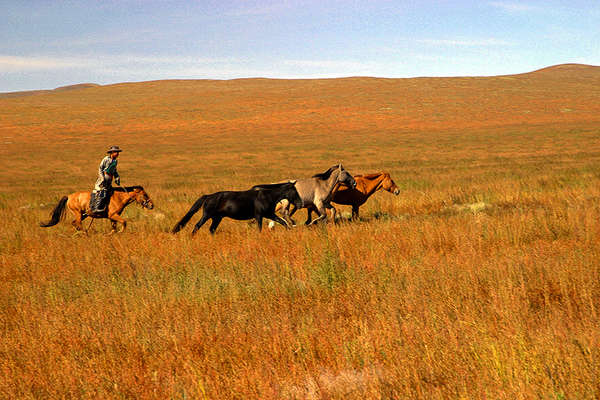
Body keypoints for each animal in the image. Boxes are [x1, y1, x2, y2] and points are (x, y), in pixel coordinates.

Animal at [173, 182, 304, 234]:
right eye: (294, 191)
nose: (300, 204)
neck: (267, 196)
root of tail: (208, 196)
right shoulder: (259, 216)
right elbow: (259, 228)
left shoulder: (269, 214)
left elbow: (283, 222)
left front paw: (289, 230)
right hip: (207, 215)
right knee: (197, 226)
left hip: (217, 218)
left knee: (212, 229)